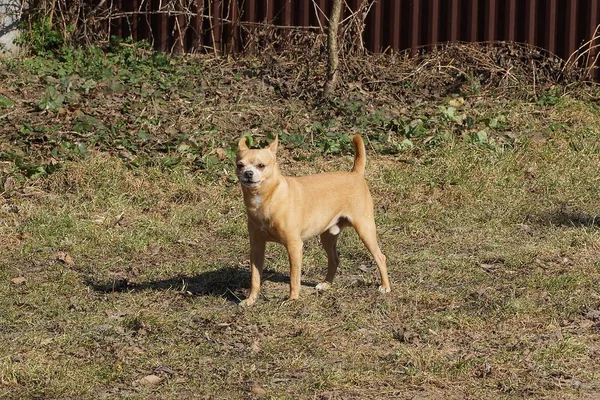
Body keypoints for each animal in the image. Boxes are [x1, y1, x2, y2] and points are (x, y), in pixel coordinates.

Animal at [237, 133, 392, 304]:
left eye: (261, 166)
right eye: (239, 165)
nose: (248, 173)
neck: (267, 199)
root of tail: (355, 173)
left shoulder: (294, 246)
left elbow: (294, 278)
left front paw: (292, 300)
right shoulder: (256, 247)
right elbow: (255, 278)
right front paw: (250, 300)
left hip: (365, 230)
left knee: (380, 257)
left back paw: (385, 286)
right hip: (328, 236)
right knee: (334, 260)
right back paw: (326, 284)